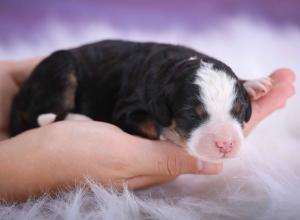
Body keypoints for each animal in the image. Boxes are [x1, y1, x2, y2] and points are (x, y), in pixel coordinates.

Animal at [9, 40, 272, 162]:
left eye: (238, 111)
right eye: (191, 115)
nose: (225, 144)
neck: (174, 66)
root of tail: (19, 96)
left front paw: (253, 84)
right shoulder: (127, 109)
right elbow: (150, 126)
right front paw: (167, 134)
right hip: (60, 69)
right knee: (42, 115)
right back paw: (79, 119)